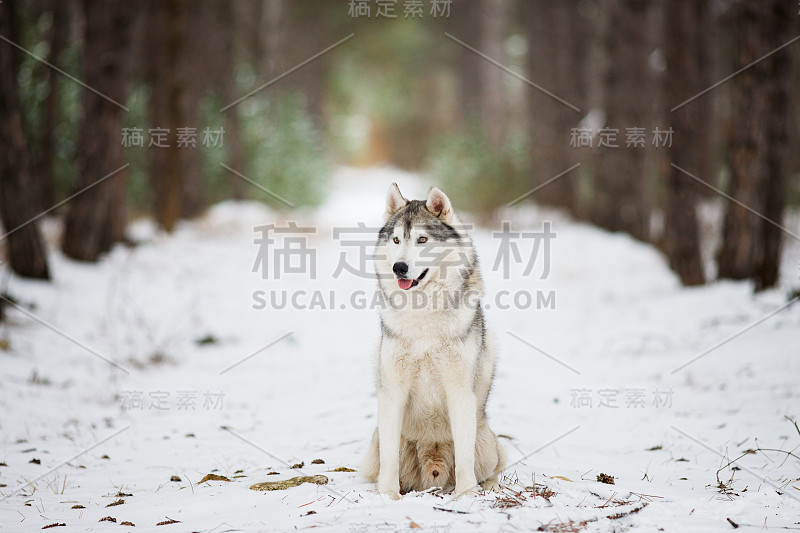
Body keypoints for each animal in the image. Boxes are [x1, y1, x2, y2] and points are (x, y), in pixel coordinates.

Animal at [362, 183, 506, 498]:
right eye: (396, 239)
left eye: (422, 239)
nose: (399, 267)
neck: (423, 316)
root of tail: (434, 472)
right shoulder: (392, 393)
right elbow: (389, 461)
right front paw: (387, 496)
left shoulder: (459, 392)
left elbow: (464, 459)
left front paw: (466, 497)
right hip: (376, 441)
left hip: (486, 441)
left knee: (492, 468)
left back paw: (487, 486)